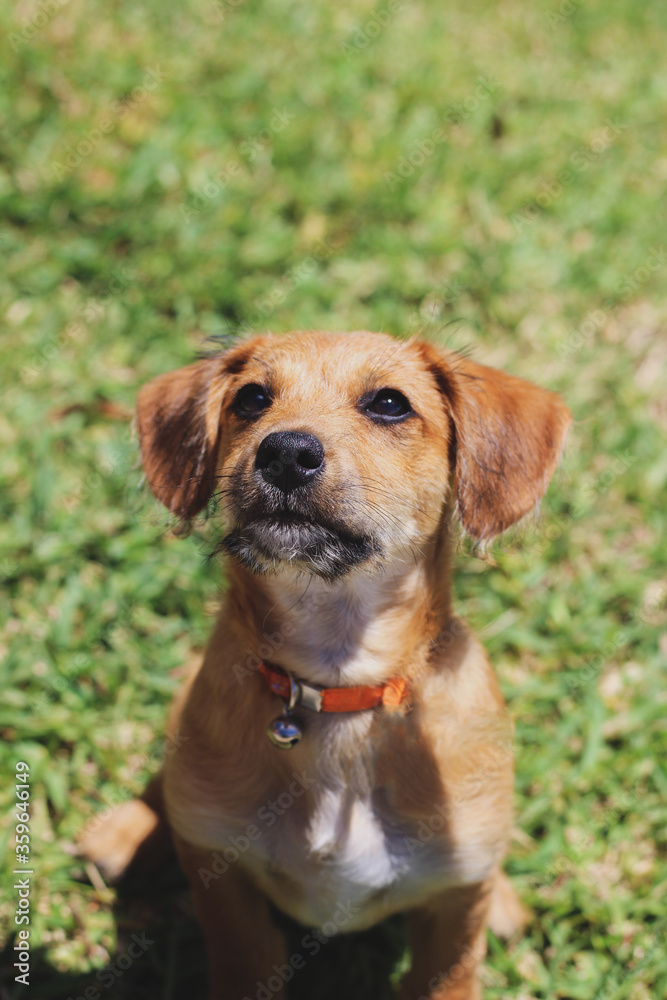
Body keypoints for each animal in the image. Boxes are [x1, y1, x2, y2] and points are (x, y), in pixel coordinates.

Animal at [82, 332, 576, 996]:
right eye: (250, 398)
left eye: (390, 403)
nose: (286, 453)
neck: (340, 688)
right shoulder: (227, 892)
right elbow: (243, 960)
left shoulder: (453, 914)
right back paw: (123, 832)